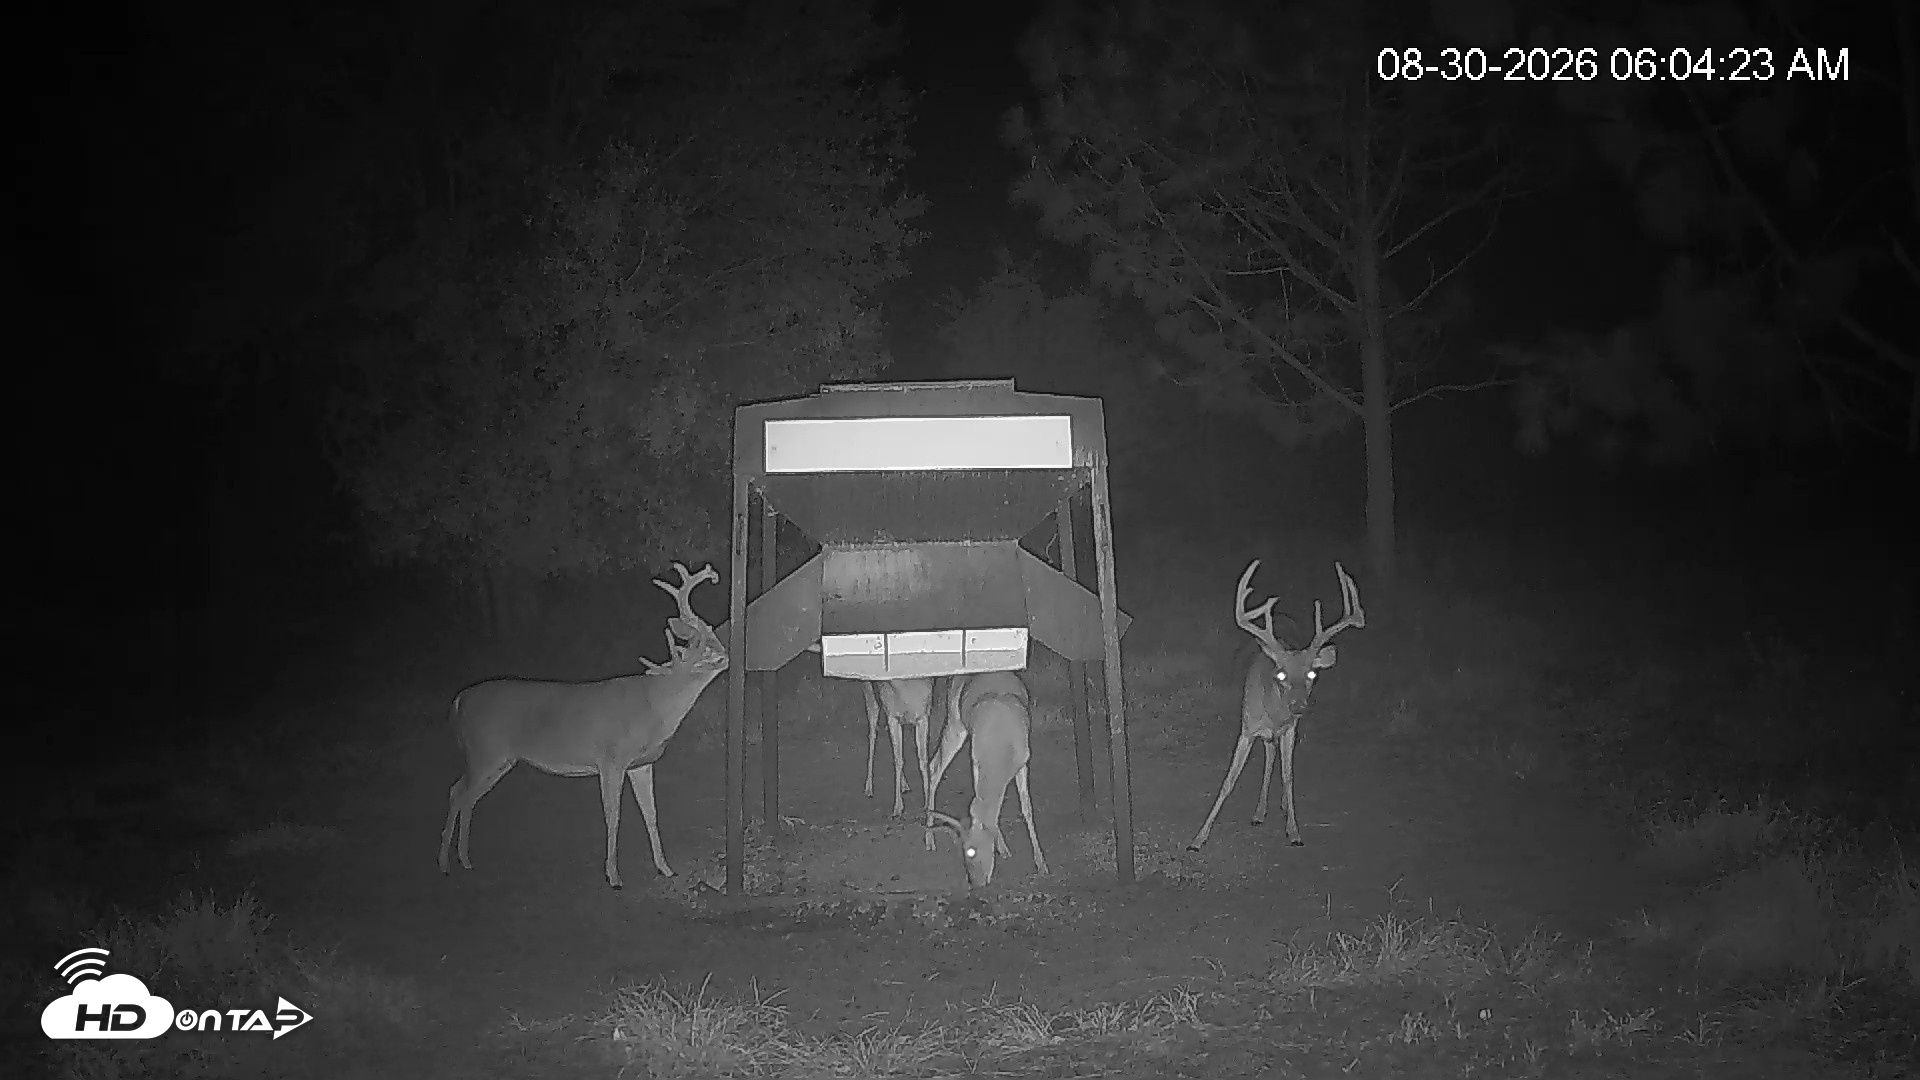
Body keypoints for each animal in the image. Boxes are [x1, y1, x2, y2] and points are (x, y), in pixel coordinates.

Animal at [437, 562, 727, 889]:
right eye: (703, 648)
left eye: (713, 636)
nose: (725, 655)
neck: (653, 708)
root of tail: (459, 699)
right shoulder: (611, 758)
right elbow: (613, 816)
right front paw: (614, 876)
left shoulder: (642, 763)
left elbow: (651, 814)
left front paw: (665, 868)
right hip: (485, 750)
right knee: (457, 792)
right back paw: (445, 863)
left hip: (499, 759)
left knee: (465, 794)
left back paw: (464, 859)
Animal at [922, 670, 1049, 888]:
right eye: (963, 851)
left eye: (971, 851)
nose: (976, 884)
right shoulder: (976, 759)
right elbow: (979, 802)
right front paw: (1003, 848)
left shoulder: (1023, 762)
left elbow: (1027, 808)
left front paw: (1041, 864)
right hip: (955, 723)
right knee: (935, 766)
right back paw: (929, 839)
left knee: (933, 765)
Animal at [1188, 560, 1365, 852]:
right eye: (1280, 674)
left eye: (1312, 674)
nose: (1299, 706)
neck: (1274, 713)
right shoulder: (1247, 727)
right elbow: (1228, 781)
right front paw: (1198, 838)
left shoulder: (1290, 728)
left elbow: (1288, 776)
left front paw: (1294, 832)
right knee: (1269, 754)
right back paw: (1259, 813)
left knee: (1276, 760)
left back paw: (1272, 808)